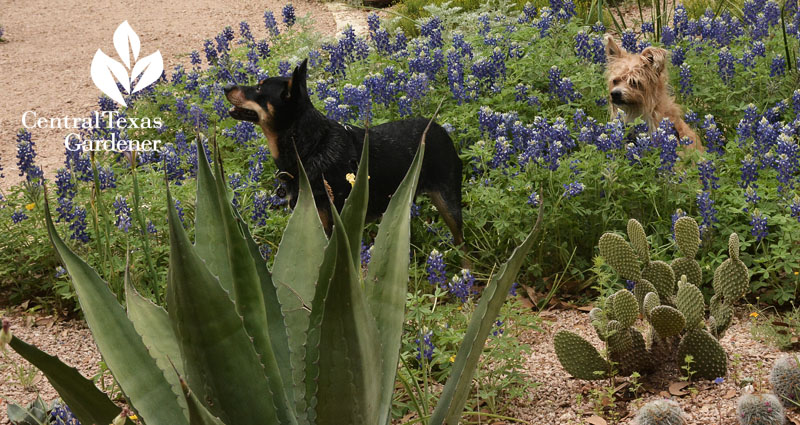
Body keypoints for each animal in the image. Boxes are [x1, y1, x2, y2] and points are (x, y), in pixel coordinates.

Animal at [223, 58, 462, 245]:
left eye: (259, 89)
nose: (225, 87)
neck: (309, 149)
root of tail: (439, 127)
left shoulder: (330, 226)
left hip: (448, 201)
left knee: (462, 245)